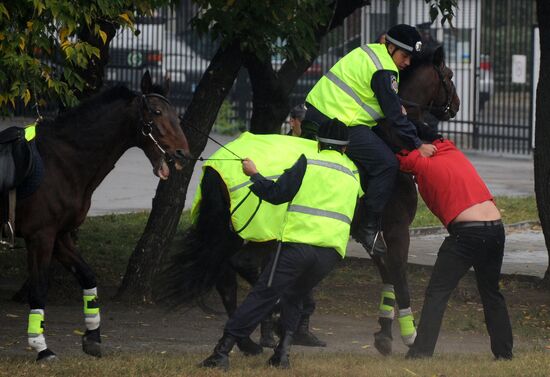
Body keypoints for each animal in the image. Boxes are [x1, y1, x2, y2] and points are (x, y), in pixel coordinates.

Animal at [12, 72, 191, 360]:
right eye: (157, 112)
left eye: (176, 114)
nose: (183, 154)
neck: (59, 162)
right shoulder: (40, 237)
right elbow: (38, 291)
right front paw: (42, 348)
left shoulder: (60, 236)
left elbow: (88, 276)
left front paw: (93, 336)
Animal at [158, 45, 462, 354]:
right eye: (449, 75)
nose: (457, 105)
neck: (391, 141)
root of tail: (225, 162)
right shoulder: (397, 230)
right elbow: (399, 278)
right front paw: (410, 334)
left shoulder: (378, 237)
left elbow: (387, 275)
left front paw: (384, 333)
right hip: (261, 229)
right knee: (242, 265)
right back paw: (274, 315)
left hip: (232, 229)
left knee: (225, 276)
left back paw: (249, 340)